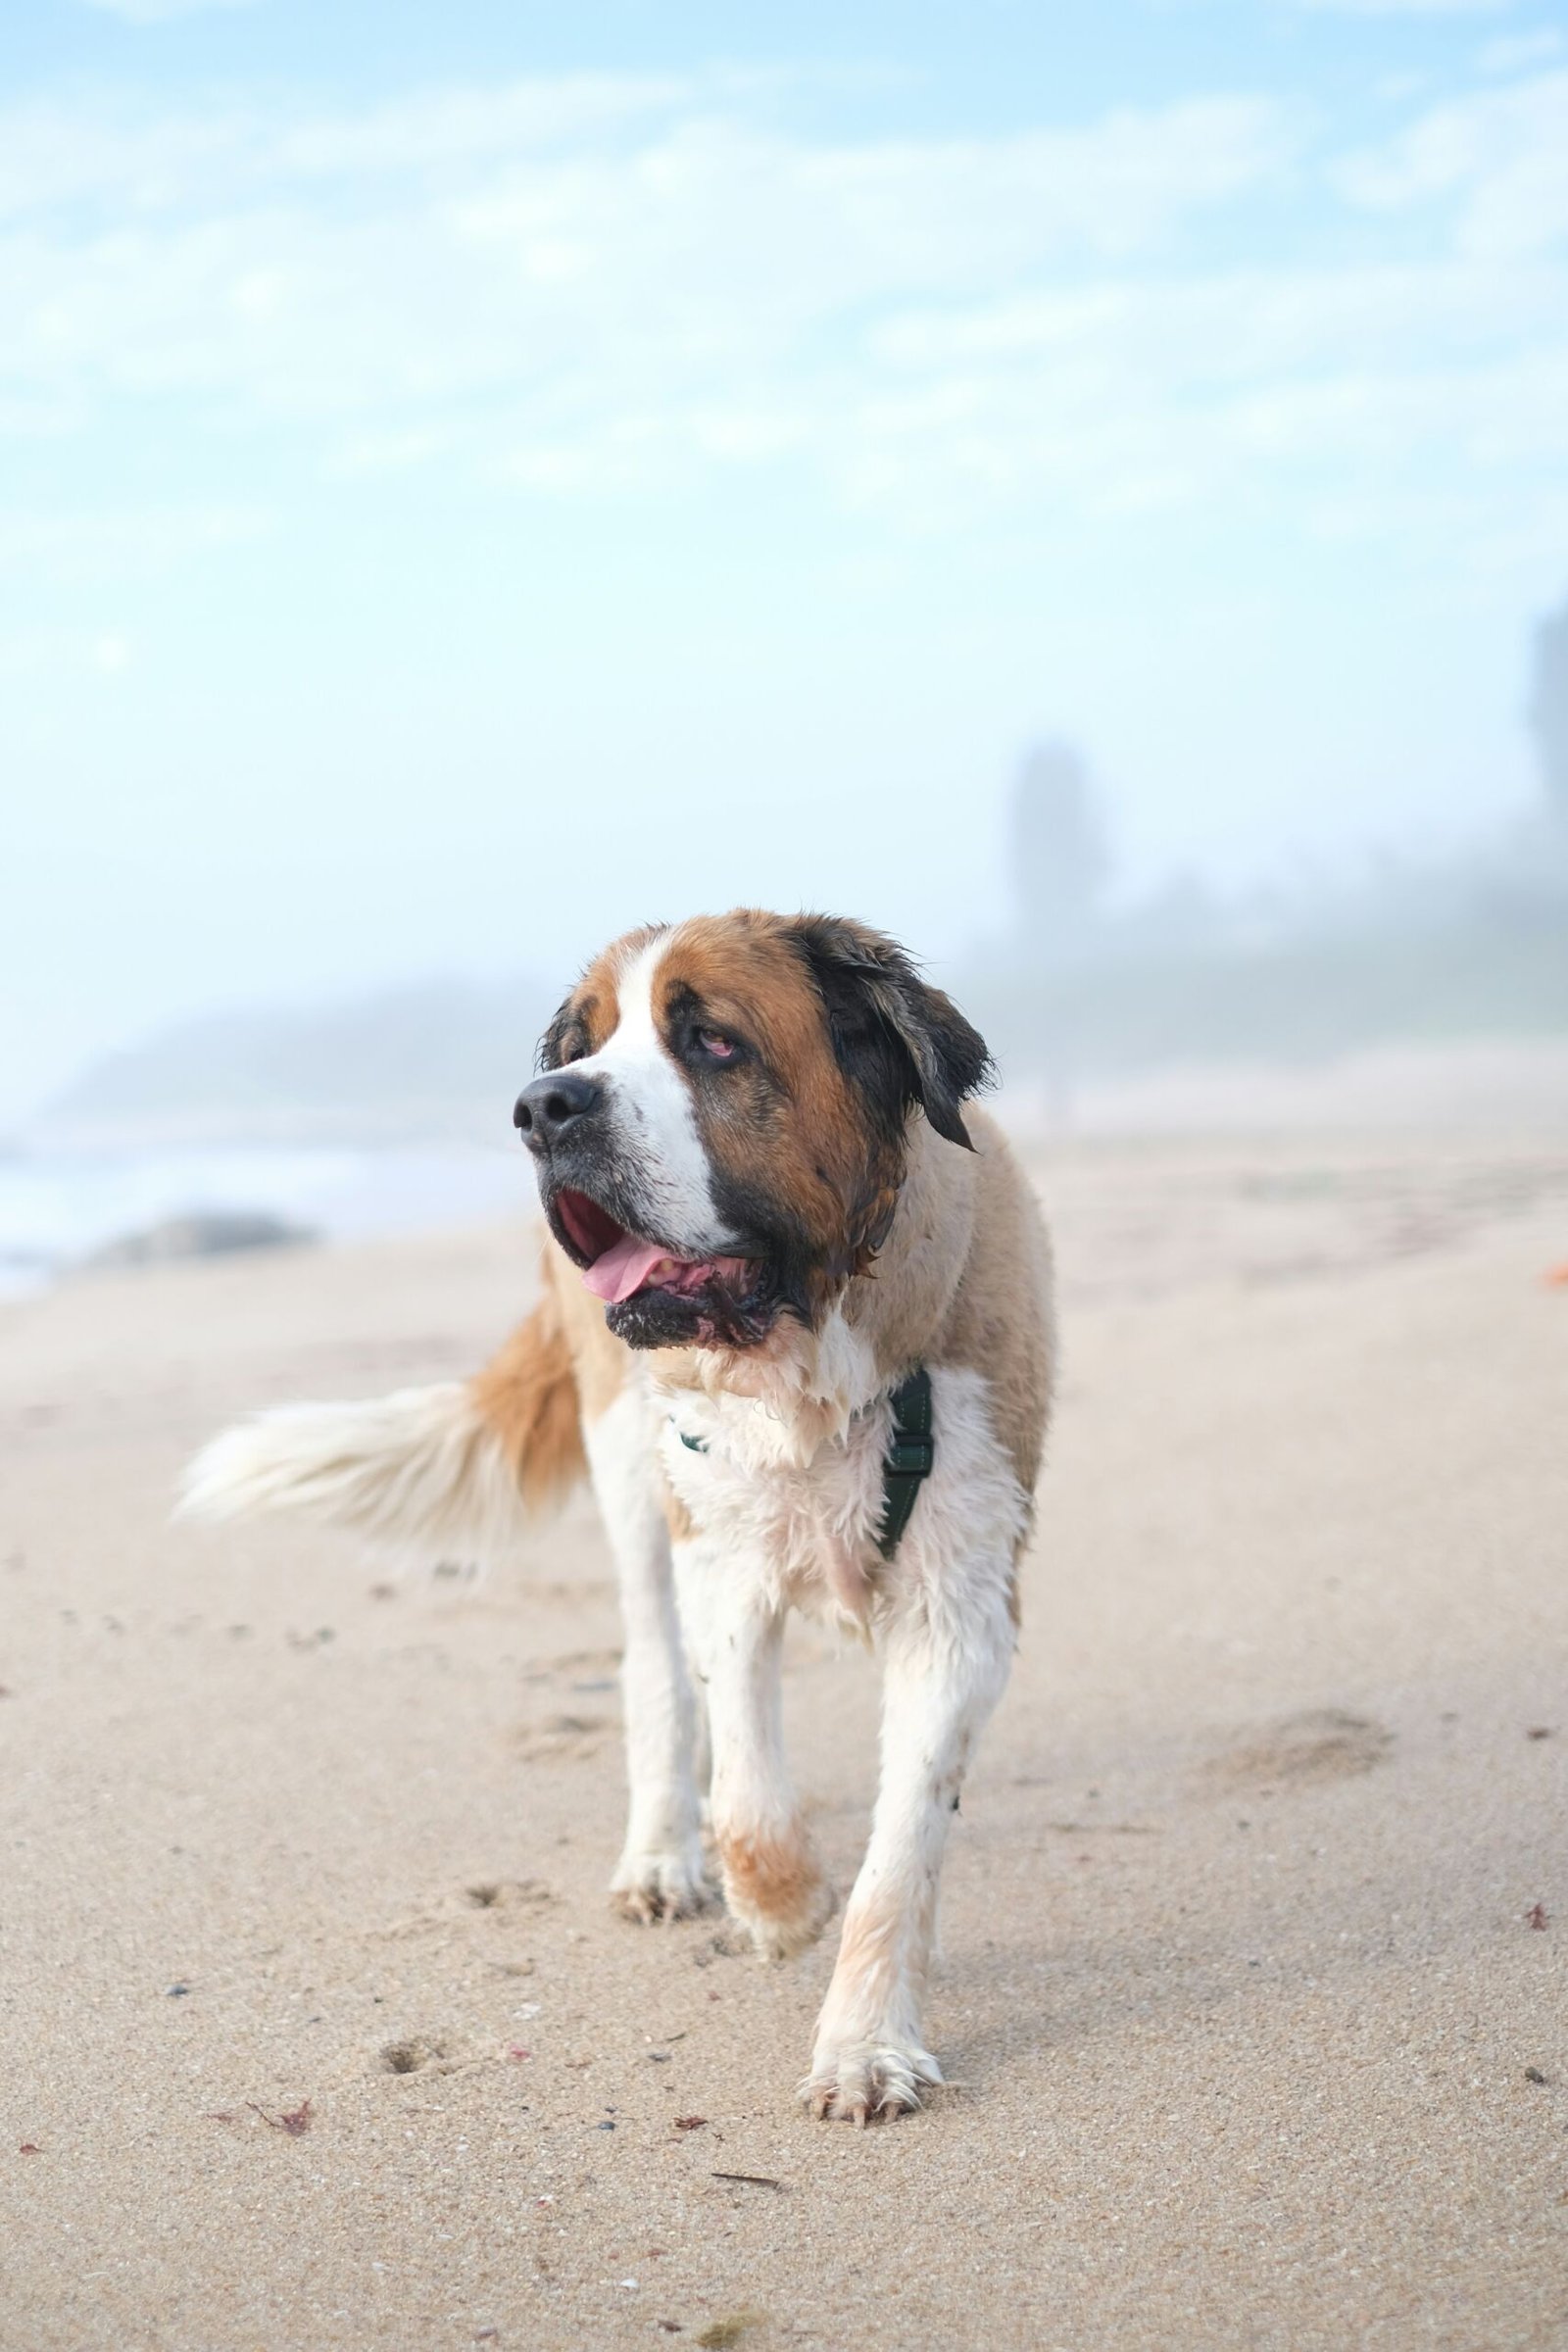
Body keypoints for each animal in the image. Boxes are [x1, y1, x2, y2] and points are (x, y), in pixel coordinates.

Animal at [184, 907, 1053, 2126]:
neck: (807, 1359)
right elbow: (745, 1793)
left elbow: (905, 1841)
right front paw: (779, 1905)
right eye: (586, 1045)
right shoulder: (720, 1554)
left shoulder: (960, 1596)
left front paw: (864, 2043)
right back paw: (662, 1858)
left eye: (712, 1041)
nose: (545, 1107)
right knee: (653, 1672)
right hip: (631, 1476)